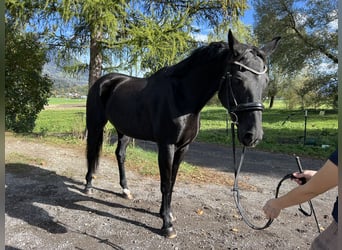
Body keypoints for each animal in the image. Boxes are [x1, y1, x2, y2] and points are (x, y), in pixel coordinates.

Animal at [84, 30, 280, 238]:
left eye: (266, 82)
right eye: (237, 79)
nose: (253, 135)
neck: (181, 98)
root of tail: (104, 81)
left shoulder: (183, 148)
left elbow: (172, 182)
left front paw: (166, 214)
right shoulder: (166, 146)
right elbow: (165, 183)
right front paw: (167, 225)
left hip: (125, 130)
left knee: (120, 155)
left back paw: (126, 190)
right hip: (96, 125)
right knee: (92, 151)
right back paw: (88, 186)